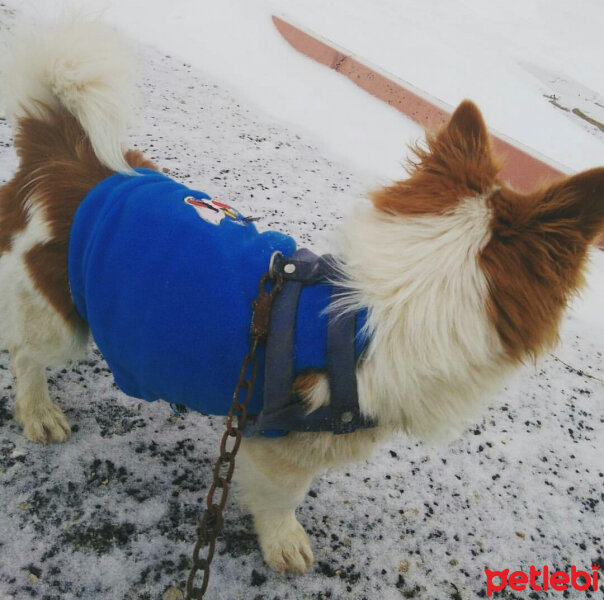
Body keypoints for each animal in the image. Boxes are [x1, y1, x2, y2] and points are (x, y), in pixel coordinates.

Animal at [0, 19, 600, 572]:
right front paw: (284, 542)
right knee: (25, 353)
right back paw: (39, 412)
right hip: (60, 320)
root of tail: (63, 159)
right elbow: (283, 498)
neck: (369, 317)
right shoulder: (279, 444)